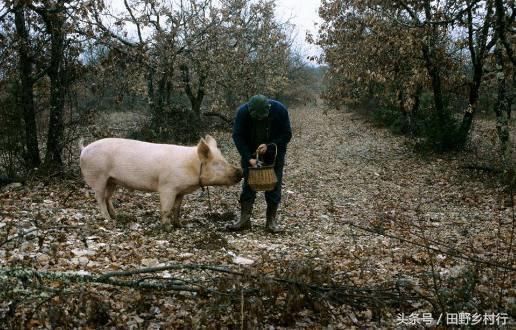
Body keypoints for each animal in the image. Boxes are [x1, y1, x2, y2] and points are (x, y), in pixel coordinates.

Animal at [79, 135, 243, 228]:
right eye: (218, 163)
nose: (240, 172)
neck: (192, 167)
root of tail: (84, 148)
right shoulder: (167, 187)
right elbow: (167, 208)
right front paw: (167, 228)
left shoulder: (180, 191)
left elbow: (177, 208)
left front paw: (180, 225)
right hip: (98, 177)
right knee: (99, 198)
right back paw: (108, 219)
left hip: (112, 180)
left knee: (107, 197)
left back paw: (116, 216)